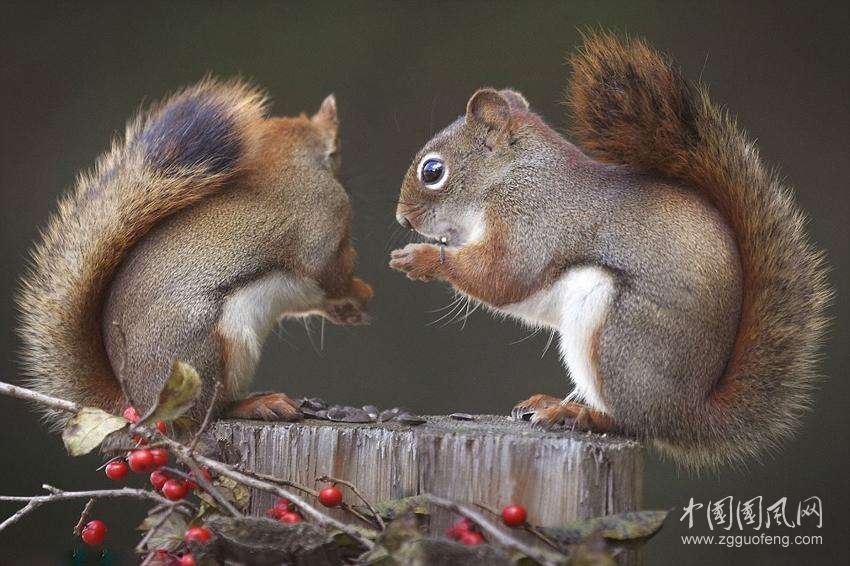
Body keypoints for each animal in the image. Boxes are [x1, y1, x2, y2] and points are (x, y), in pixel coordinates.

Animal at [390, 33, 828, 468]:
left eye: (433, 171)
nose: (402, 219)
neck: (510, 174)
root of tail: (687, 413)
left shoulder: (531, 219)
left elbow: (503, 275)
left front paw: (420, 258)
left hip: (615, 334)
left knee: (632, 423)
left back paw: (578, 414)